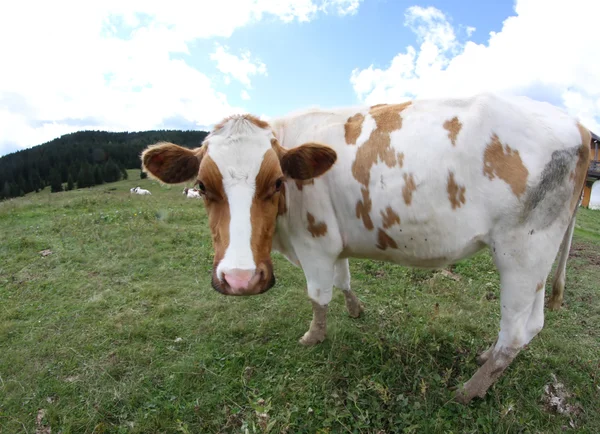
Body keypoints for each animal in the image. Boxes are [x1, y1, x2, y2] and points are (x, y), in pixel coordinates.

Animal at [139, 93, 592, 406]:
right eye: (202, 186)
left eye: (277, 182)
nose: (240, 279)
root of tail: (577, 124)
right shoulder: (334, 243)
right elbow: (343, 280)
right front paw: (356, 310)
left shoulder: (315, 242)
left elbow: (318, 295)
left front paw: (314, 336)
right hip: (537, 260)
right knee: (531, 325)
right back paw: (484, 358)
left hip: (522, 252)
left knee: (513, 332)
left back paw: (468, 390)